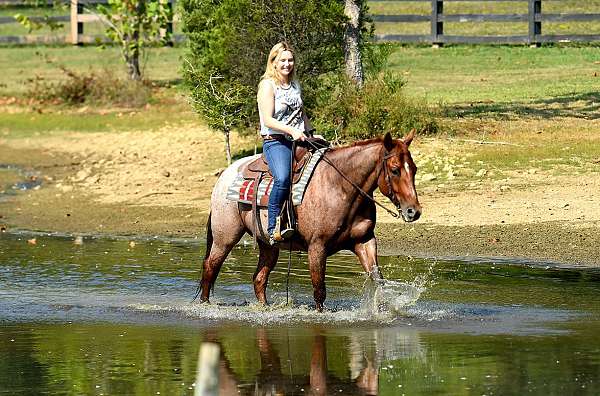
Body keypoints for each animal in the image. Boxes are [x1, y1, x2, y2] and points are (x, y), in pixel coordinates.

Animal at [199, 131, 420, 310]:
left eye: (415, 169)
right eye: (395, 169)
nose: (413, 211)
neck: (340, 187)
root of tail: (225, 175)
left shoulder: (364, 241)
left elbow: (378, 281)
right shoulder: (317, 247)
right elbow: (319, 290)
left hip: (268, 245)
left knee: (259, 278)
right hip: (225, 238)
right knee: (210, 267)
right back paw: (204, 304)